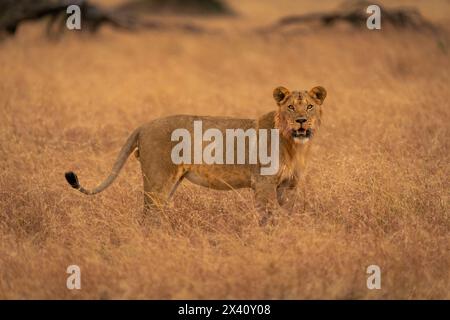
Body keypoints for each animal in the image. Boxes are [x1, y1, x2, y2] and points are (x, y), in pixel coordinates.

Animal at [65, 85, 326, 225]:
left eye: (309, 106)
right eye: (291, 107)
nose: (301, 121)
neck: (294, 145)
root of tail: (144, 125)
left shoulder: (290, 185)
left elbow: (287, 215)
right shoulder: (263, 183)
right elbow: (268, 216)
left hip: (169, 183)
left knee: (155, 213)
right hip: (158, 179)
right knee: (147, 214)